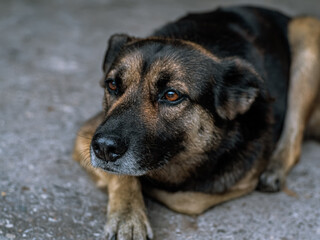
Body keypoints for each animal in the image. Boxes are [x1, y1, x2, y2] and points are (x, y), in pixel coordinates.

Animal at [72, 6, 320, 240]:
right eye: (112, 84)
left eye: (172, 95)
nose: (104, 148)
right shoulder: (88, 133)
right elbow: (124, 176)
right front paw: (128, 216)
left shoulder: (240, 180)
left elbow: (185, 199)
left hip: (306, 30)